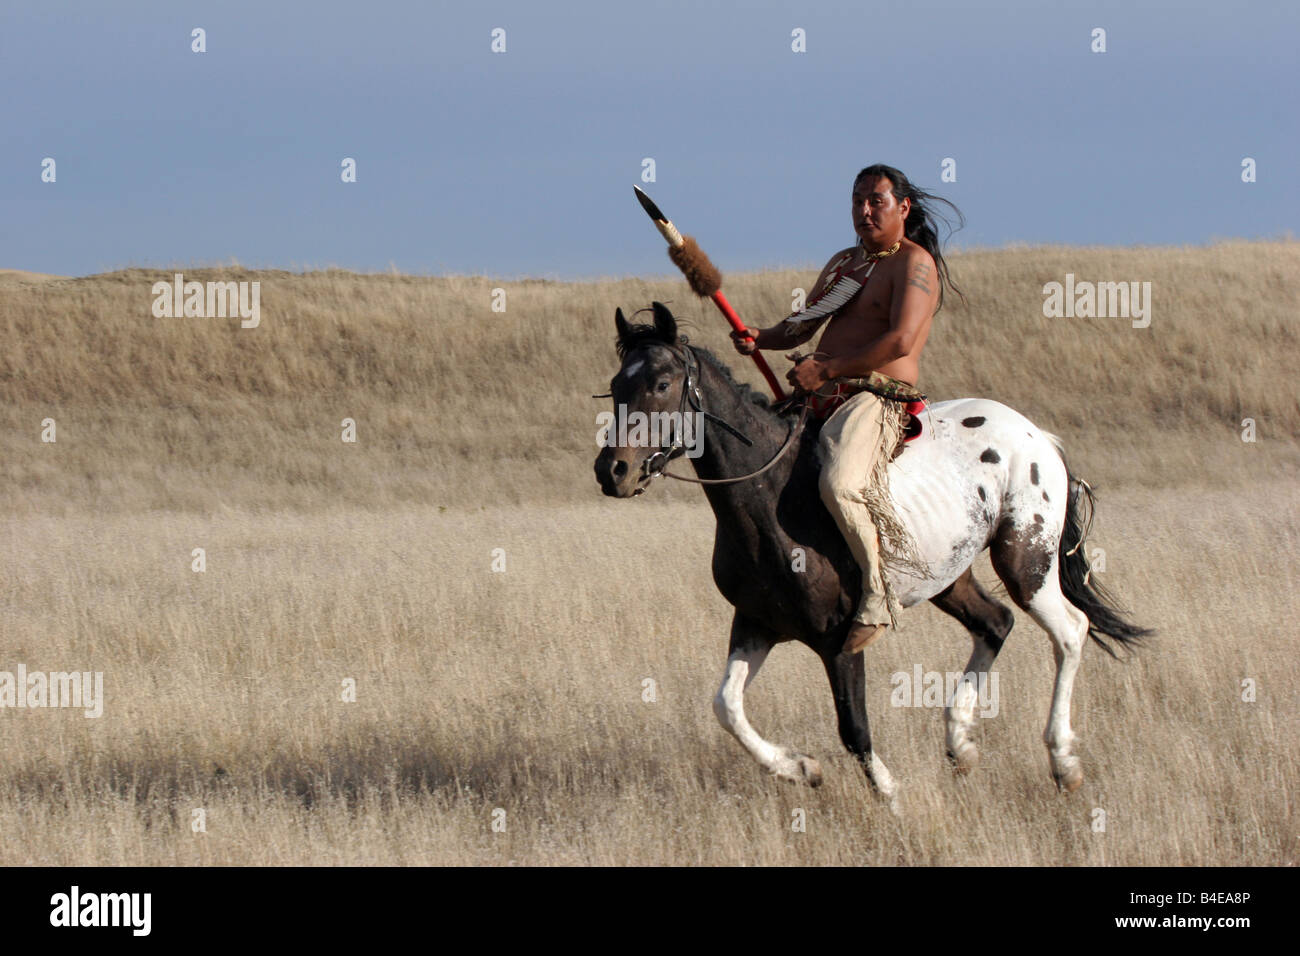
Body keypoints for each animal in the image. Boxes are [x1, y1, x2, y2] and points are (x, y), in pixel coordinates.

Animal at [595, 303, 1154, 806]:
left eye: (662, 383)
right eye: (617, 386)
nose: (612, 471)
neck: (770, 495)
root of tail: (1038, 436)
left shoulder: (839, 640)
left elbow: (854, 729)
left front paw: (889, 793)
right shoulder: (756, 623)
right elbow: (727, 706)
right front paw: (800, 768)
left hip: (1025, 562)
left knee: (1070, 632)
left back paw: (1063, 762)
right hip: (949, 578)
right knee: (995, 623)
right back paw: (960, 744)